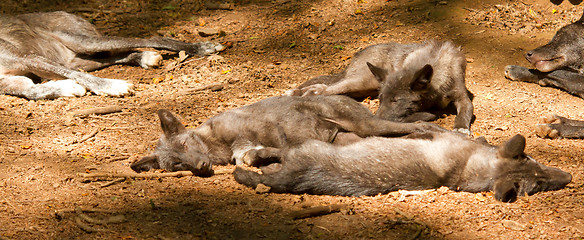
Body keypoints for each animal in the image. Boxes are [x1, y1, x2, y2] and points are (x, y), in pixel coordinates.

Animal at [0, 11, 224, 99]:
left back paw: (202, 47)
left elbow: (78, 76)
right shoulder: (13, 81)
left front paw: (113, 86)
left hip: (83, 42)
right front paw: (67, 88)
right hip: (79, 58)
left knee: (152, 38)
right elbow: (33, 91)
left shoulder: (30, 58)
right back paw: (145, 58)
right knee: (111, 57)